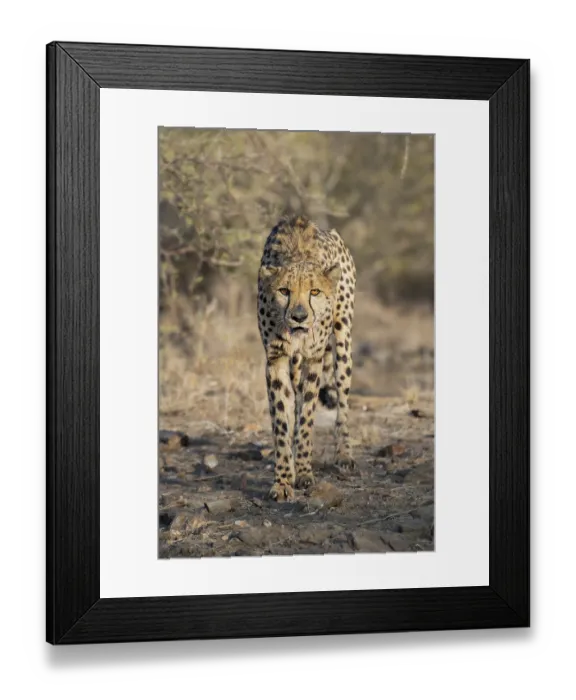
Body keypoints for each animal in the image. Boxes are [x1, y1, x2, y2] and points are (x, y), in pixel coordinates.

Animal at [257, 214, 357, 502]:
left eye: (314, 292)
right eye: (284, 291)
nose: (299, 317)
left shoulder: (313, 358)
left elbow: (308, 417)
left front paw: (302, 472)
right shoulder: (276, 360)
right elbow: (282, 420)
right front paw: (283, 480)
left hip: (342, 342)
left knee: (341, 402)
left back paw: (344, 453)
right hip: (295, 364)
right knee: (296, 401)